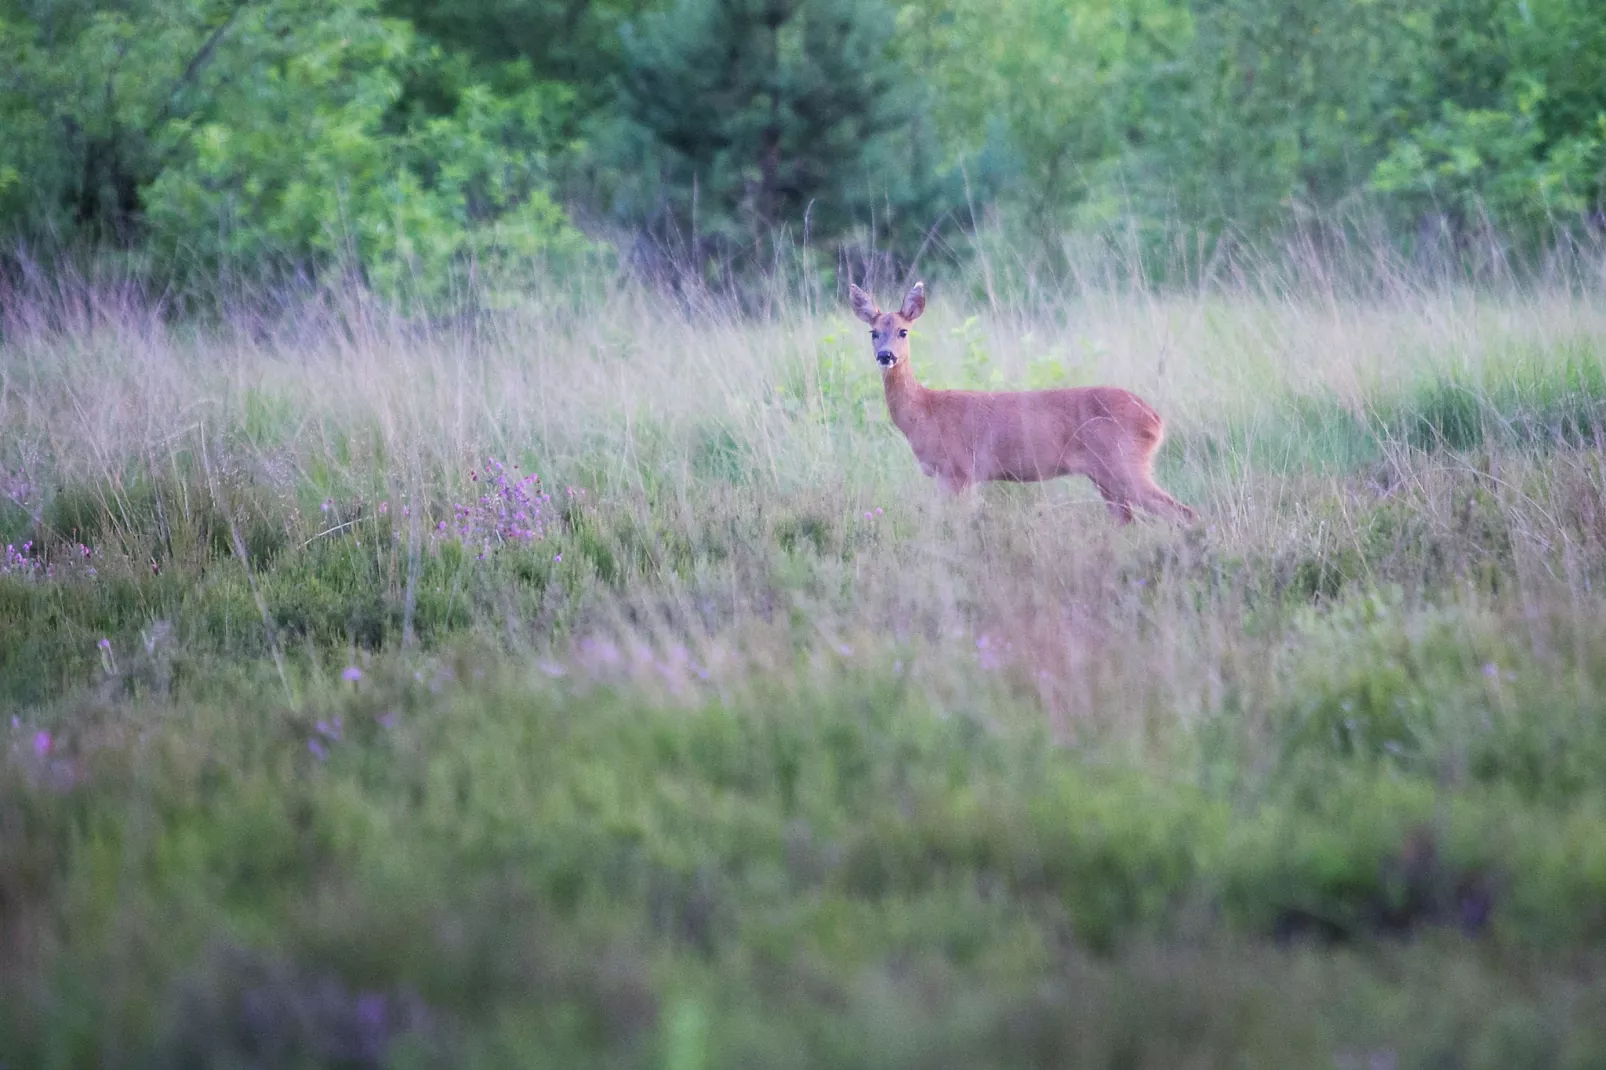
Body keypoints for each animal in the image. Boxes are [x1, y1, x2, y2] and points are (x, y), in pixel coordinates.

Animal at [854, 276, 1194, 523]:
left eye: (903, 331)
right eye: (873, 332)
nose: (886, 356)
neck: (924, 410)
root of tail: (1155, 420)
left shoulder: (958, 470)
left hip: (1125, 464)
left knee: (1184, 513)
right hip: (1107, 477)